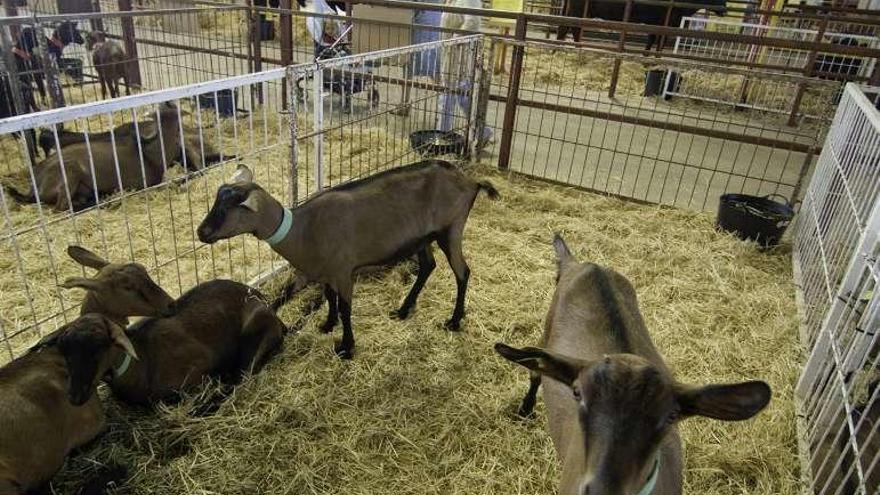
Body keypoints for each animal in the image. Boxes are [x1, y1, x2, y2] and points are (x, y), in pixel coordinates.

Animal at [200, 163, 502, 360]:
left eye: (230, 208)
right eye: (216, 201)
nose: (201, 232)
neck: (302, 229)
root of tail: (472, 181)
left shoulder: (345, 271)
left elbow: (346, 308)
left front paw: (346, 347)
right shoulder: (326, 270)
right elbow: (328, 296)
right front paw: (327, 324)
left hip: (451, 229)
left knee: (462, 272)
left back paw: (454, 321)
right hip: (421, 238)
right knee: (428, 266)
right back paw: (403, 310)